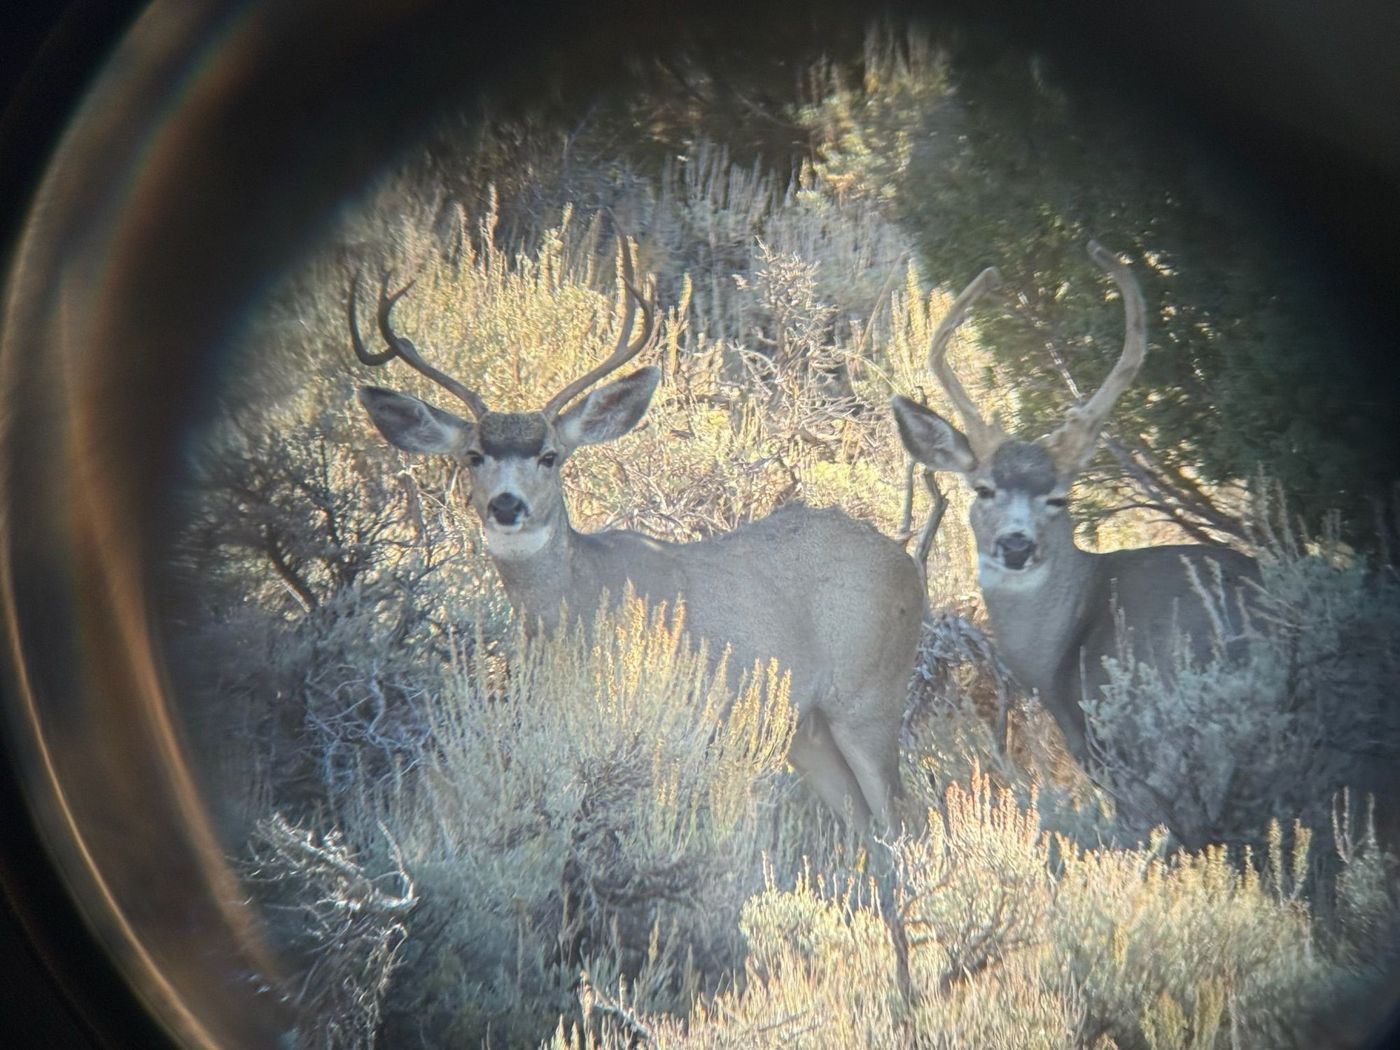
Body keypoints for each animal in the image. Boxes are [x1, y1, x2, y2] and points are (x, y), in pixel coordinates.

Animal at [349, 240, 925, 832]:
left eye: (549, 456)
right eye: (473, 456)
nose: (507, 505)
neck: (575, 606)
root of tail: (908, 563)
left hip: (869, 696)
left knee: (905, 816)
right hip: (806, 731)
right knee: (866, 826)